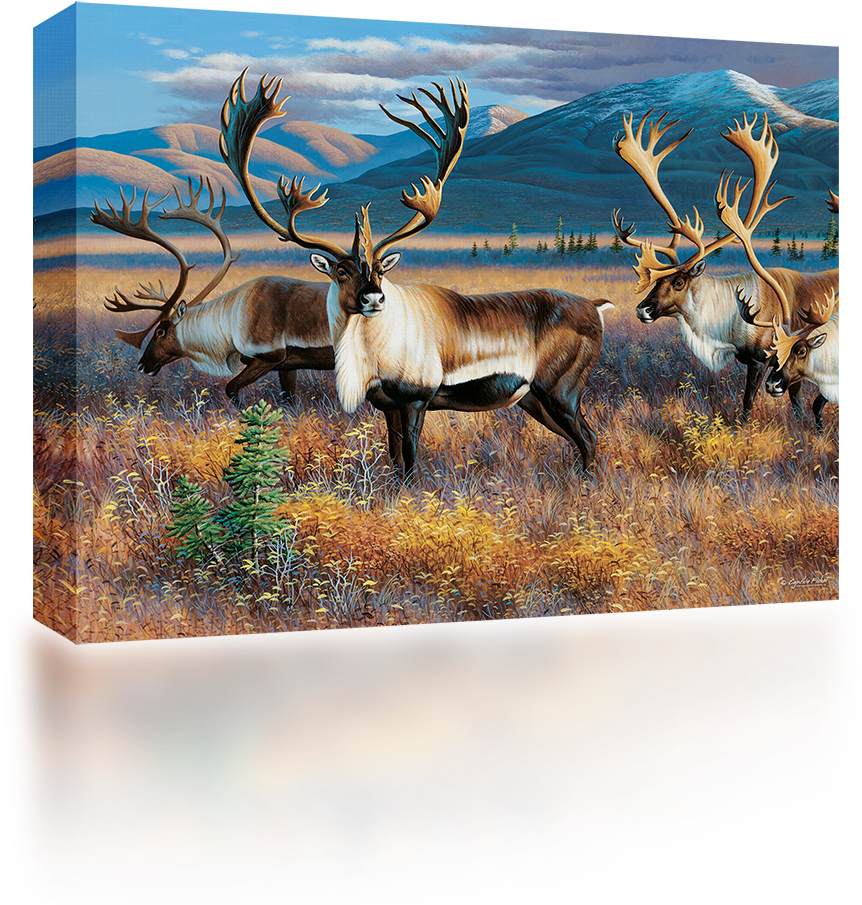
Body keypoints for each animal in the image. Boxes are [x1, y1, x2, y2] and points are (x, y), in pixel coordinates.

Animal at [91, 176, 335, 406]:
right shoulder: (286, 365)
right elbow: (289, 398)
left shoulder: (270, 356)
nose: (142, 365)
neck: (229, 326)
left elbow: (231, 389)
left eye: (160, 331)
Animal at [219, 70, 613, 480]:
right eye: (341, 271)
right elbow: (395, 459)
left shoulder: (417, 398)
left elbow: (409, 460)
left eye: (380, 268)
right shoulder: (387, 404)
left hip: (561, 389)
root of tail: (596, 307)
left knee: (589, 437)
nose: (373, 297)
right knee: (582, 438)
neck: (374, 356)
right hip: (533, 398)